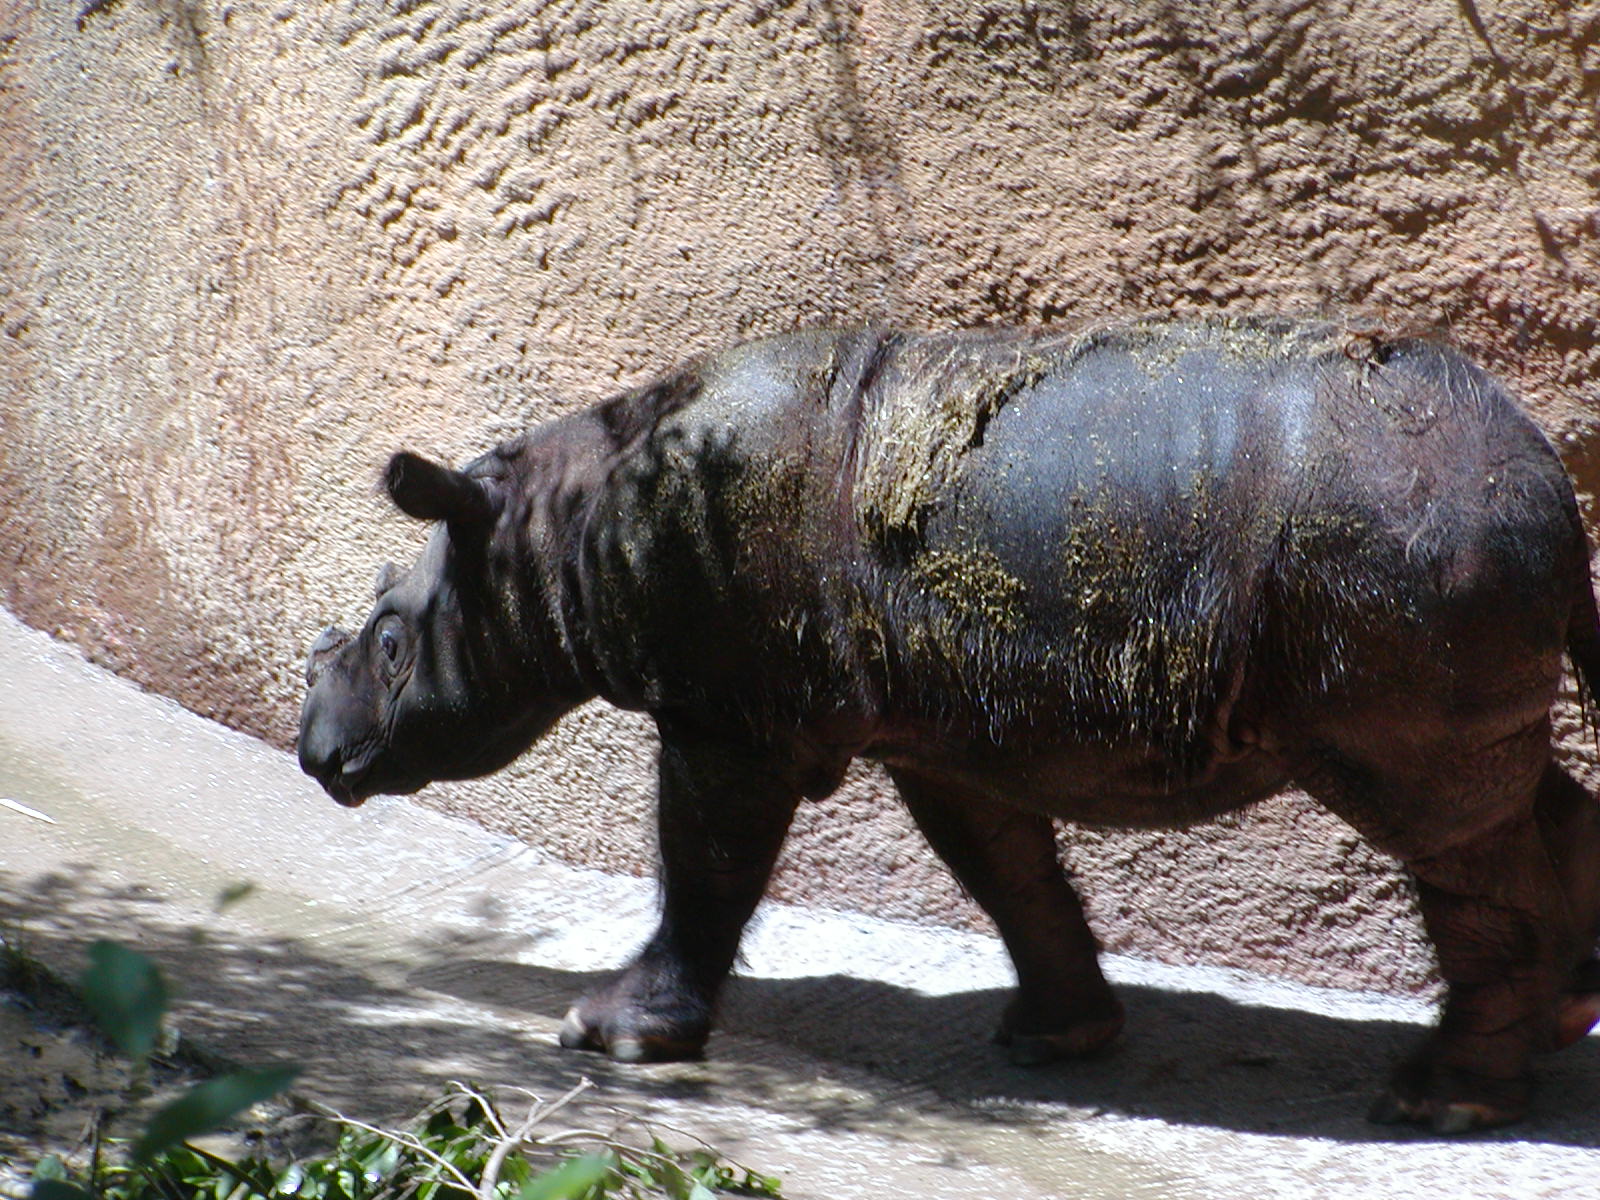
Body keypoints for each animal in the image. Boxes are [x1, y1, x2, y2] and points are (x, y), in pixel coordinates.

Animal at [298, 316, 1600, 1131]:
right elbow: (1002, 866)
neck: (550, 529)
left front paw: (608, 1034)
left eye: (392, 643)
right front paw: (1056, 1040)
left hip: (1402, 547)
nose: (320, 756)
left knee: (1440, 827)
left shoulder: (728, 717)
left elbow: (705, 860)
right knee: (1504, 799)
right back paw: (1555, 1028)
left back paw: (1441, 1101)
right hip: (1432, 546)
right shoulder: (941, 718)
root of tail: (1549, 481)